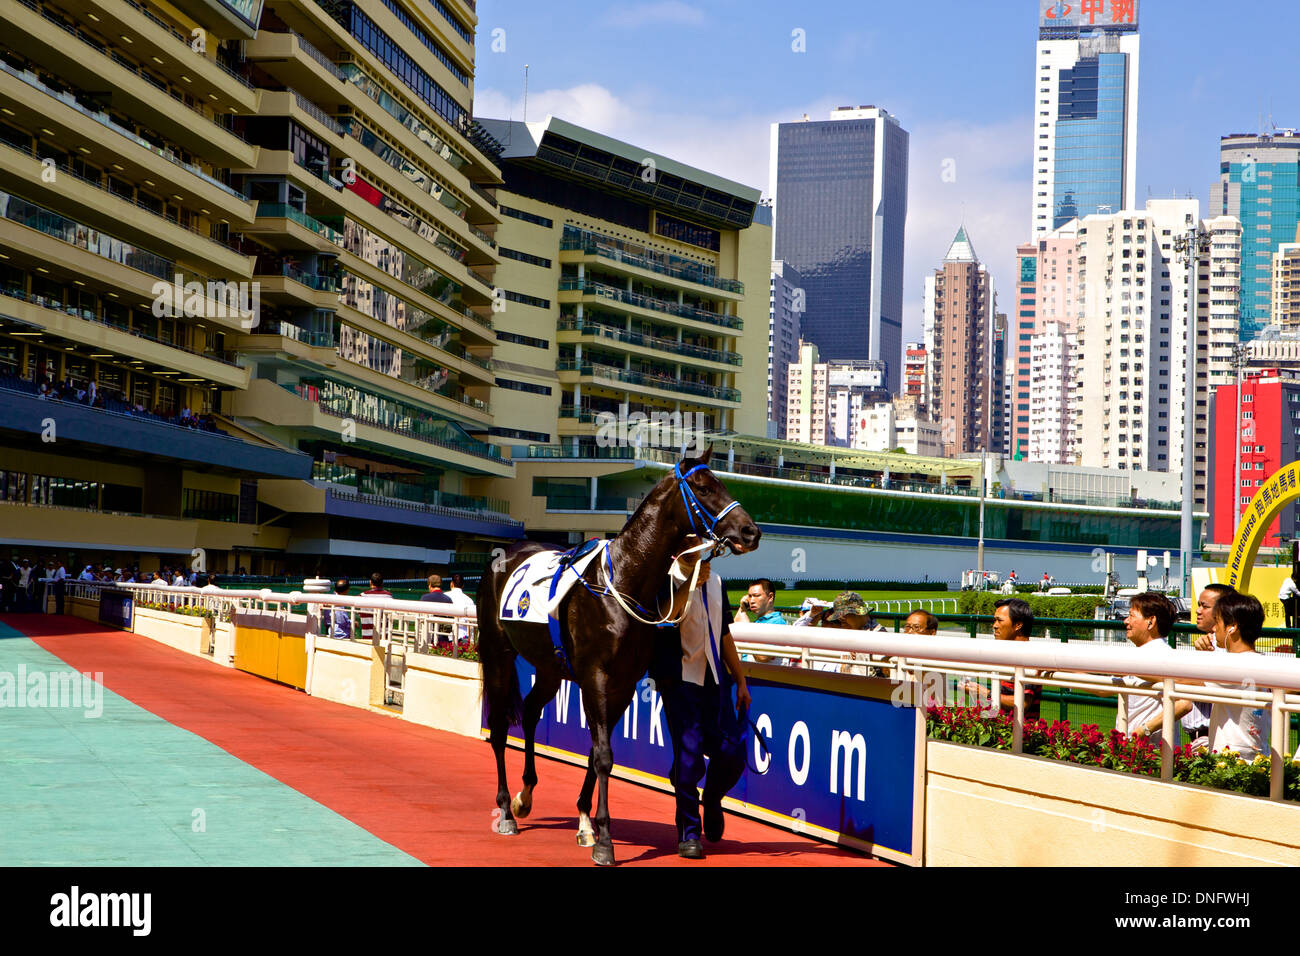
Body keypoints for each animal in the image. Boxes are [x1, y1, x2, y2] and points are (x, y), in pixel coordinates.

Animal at [478, 447, 759, 868]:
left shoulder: (623, 683)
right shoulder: (595, 677)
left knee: (528, 714)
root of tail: (505, 553)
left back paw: (525, 797)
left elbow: (597, 750)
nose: (751, 532)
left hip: (549, 666)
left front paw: (585, 823)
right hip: (498, 653)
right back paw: (507, 811)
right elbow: (605, 756)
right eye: (704, 487)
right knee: (498, 728)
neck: (623, 582)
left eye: (723, 483)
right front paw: (605, 841)